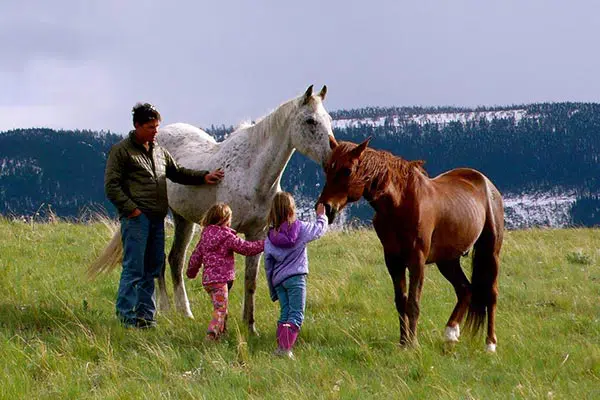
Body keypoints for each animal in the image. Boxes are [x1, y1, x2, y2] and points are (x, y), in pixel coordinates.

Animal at [88, 84, 332, 334]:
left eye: (329, 119)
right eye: (310, 121)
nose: (333, 154)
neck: (253, 172)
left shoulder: (256, 234)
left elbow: (250, 282)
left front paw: (250, 326)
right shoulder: (228, 232)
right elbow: (227, 282)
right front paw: (222, 327)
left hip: (184, 219)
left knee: (175, 259)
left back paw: (185, 313)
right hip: (163, 218)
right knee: (159, 262)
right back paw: (164, 309)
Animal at [316, 139, 504, 352]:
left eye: (347, 170)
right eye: (327, 168)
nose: (326, 208)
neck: (400, 204)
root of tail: (486, 183)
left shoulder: (417, 261)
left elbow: (413, 303)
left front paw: (413, 344)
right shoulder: (393, 261)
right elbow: (401, 302)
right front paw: (403, 342)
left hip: (491, 252)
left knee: (491, 294)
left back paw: (490, 344)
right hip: (447, 260)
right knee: (465, 289)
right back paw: (450, 333)